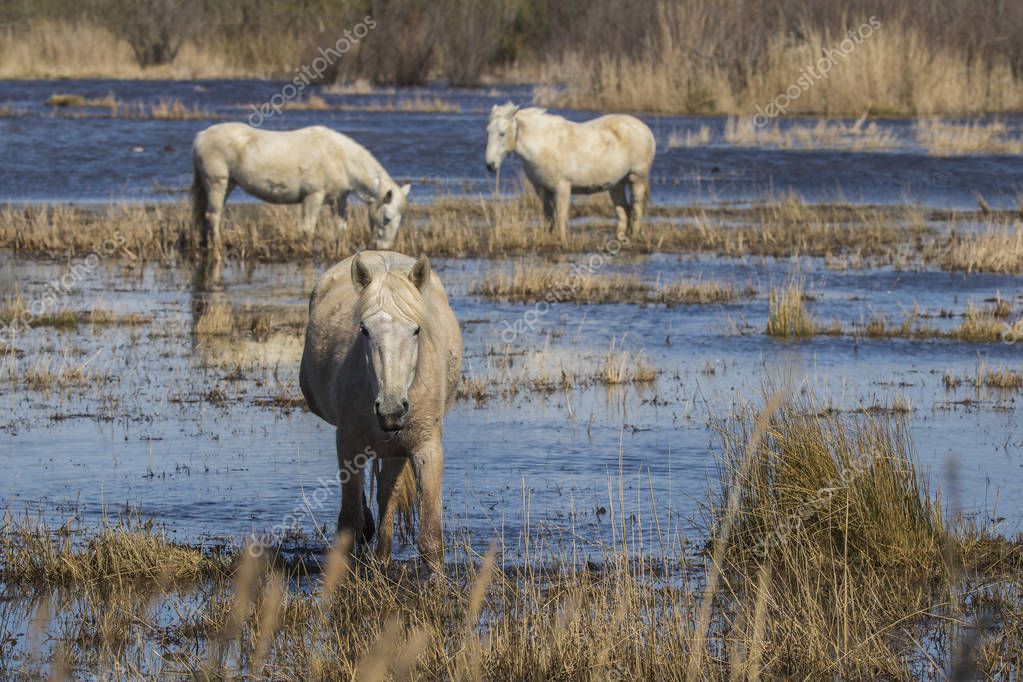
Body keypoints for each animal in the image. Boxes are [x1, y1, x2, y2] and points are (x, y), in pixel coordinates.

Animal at [192, 124, 411, 257]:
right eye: (387, 219)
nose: (384, 249)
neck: (340, 156)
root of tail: (200, 136)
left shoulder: (339, 199)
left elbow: (341, 227)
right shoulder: (313, 196)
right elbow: (308, 229)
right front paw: (306, 251)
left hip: (227, 184)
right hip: (217, 183)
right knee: (213, 216)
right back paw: (217, 246)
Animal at [298, 250, 462, 572]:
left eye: (416, 329)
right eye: (364, 329)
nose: (391, 410)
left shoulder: (427, 448)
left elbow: (431, 539)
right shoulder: (349, 444)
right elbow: (349, 523)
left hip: (397, 450)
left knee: (388, 491)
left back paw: (383, 557)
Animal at [480, 104, 654, 242]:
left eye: (502, 133)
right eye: (488, 132)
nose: (490, 165)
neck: (544, 145)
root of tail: (645, 130)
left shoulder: (562, 187)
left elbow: (561, 215)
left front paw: (562, 241)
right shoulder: (542, 189)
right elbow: (549, 215)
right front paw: (550, 237)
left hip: (637, 178)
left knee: (636, 208)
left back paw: (633, 237)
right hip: (617, 184)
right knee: (623, 211)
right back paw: (620, 238)